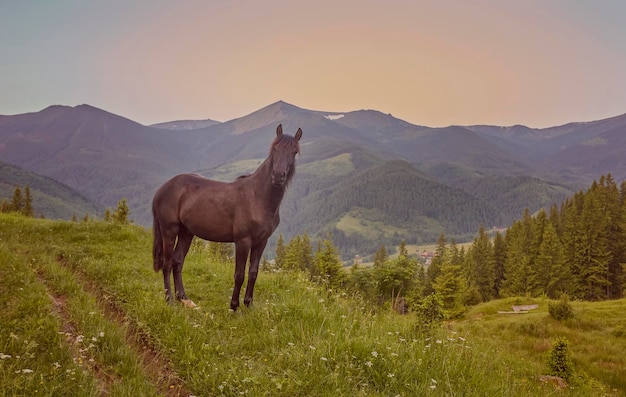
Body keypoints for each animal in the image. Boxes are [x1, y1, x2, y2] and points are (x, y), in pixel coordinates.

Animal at [152, 124, 302, 310]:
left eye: (294, 152)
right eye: (274, 149)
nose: (278, 176)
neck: (257, 197)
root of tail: (163, 188)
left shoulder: (261, 242)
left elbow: (253, 273)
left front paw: (248, 304)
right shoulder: (243, 241)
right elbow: (239, 274)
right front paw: (234, 306)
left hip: (186, 232)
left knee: (177, 261)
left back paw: (184, 298)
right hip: (169, 230)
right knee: (166, 264)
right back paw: (170, 300)